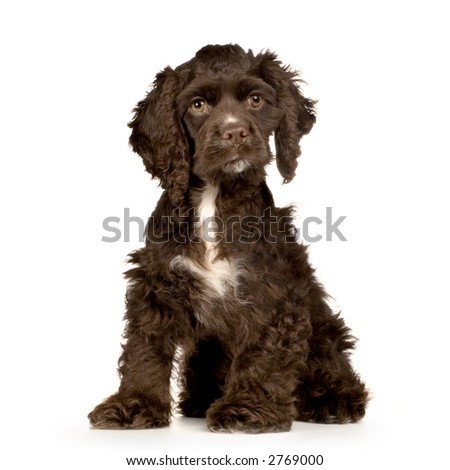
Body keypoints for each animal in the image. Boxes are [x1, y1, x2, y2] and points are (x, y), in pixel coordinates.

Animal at [88, 44, 370, 434]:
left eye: (255, 99)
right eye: (198, 106)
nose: (235, 133)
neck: (215, 196)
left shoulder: (272, 291)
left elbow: (263, 352)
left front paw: (246, 409)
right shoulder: (157, 283)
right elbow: (145, 347)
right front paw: (135, 404)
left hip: (324, 328)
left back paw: (334, 401)